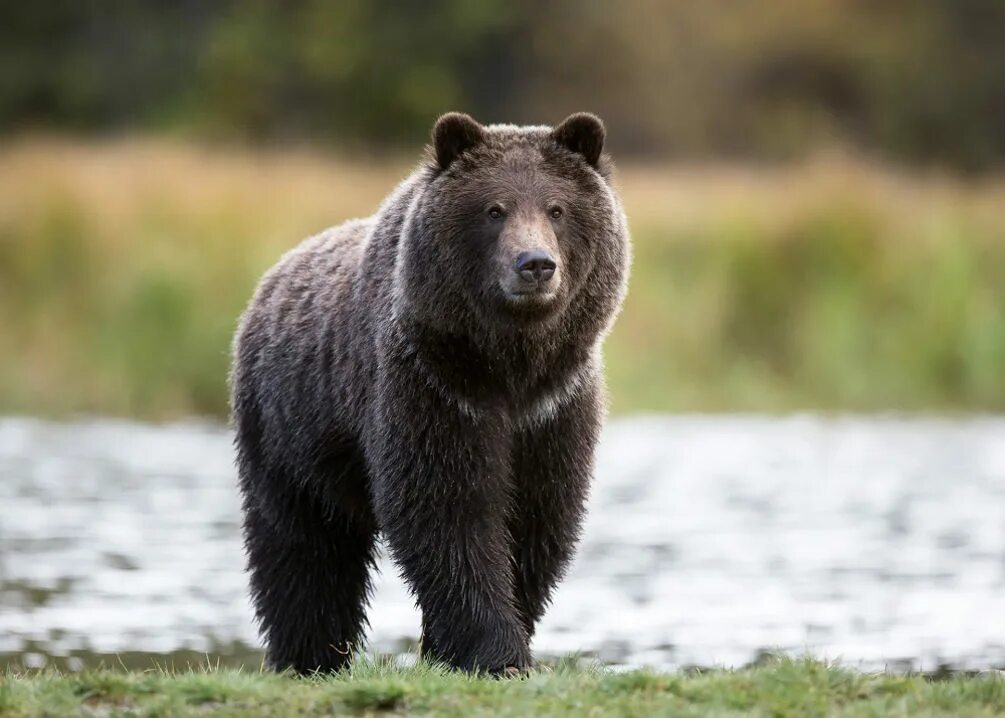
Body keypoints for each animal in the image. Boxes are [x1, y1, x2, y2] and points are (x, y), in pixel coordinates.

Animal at [231, 111, 631, 671]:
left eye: (557, 209)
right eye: (494, 209)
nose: (535, 264)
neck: (508, 364)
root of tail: (270, 280)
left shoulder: (554, 406)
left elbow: (538, 516)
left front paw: (465, 646)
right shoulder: (432, 385)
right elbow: (447, 510)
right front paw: (495, 650)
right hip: (287, 432)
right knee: (302, 547)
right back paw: (309, 654)